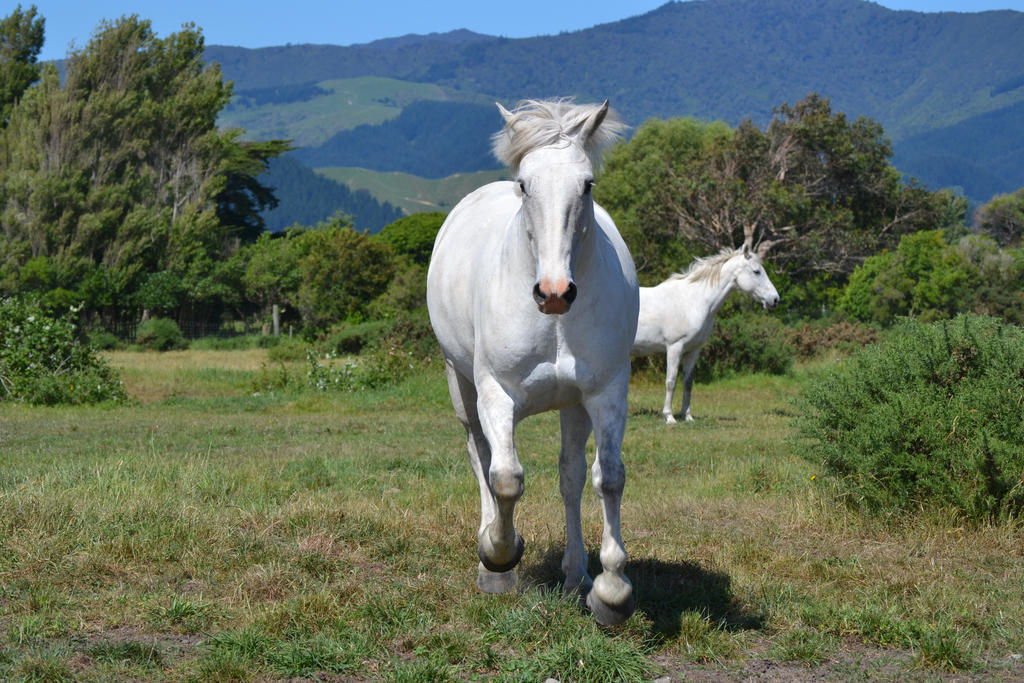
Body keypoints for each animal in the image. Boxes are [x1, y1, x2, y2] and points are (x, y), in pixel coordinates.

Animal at [425, 98, 638, 626]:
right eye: (525, 184)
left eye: (587, 183)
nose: (554, 292)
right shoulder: (496, 393)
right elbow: (505, 478)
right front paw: (500, 555)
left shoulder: (605, 392)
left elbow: (607, 478)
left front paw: (611, 590)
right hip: (461, 386)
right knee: (480, 457)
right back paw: (492, 565)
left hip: (573, 406)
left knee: (571, 477)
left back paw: (576, 575)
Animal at [630, 248, 774, 423]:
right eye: (756, 271)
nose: (775, 299)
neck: (693, 300)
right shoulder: (674, 348)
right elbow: (671, 381)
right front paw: (669, 417)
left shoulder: (693, 350)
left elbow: (688, 383)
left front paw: (687, 416)